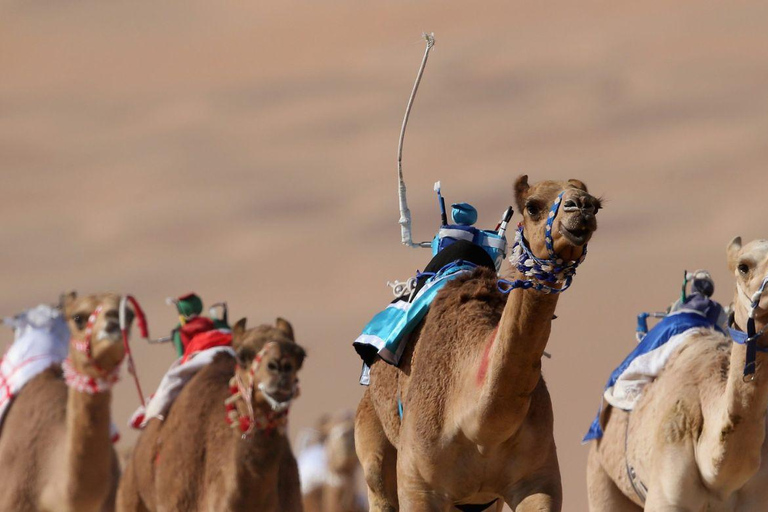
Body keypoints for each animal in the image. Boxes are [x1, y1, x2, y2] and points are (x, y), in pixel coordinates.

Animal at [354, 177, 600, 512]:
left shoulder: (538, 481)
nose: (582, 207)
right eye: (533, 206)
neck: (481, 426)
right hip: (372, 441)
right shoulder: (418, 486)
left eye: (596, 204)